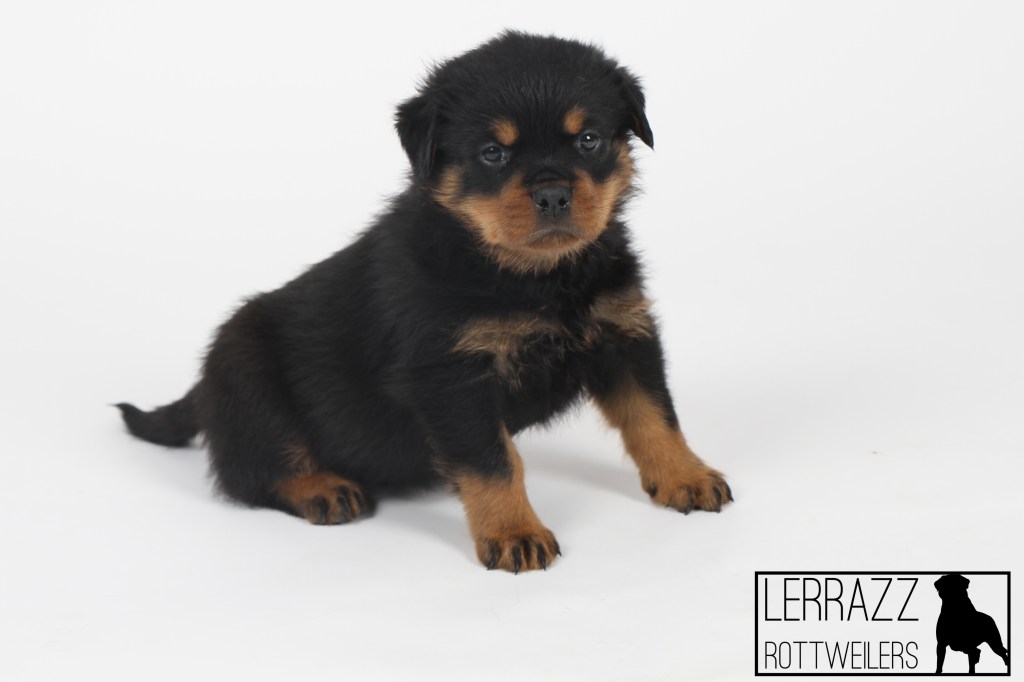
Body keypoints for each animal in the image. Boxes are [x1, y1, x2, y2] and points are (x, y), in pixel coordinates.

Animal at [117, 31, 732, 573]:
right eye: (492, 153)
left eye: (589, 140)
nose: (554, 193)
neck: (535, 276)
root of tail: (201, 389)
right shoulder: (451, 375)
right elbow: (494, 463)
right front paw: (514, 532)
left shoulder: (623, 332)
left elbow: (654, 415)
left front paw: (686, 475)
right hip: (245, 367)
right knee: (252, 469)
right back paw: (323, 488)